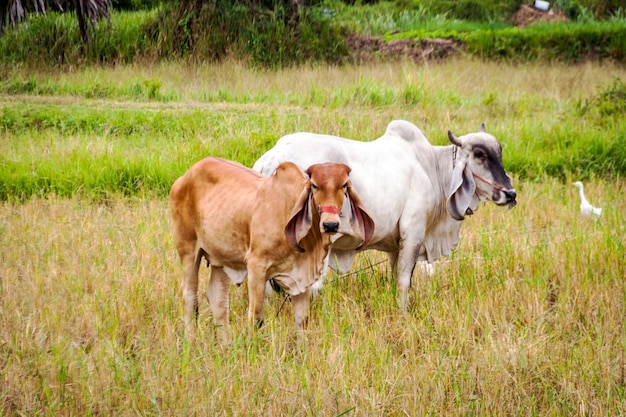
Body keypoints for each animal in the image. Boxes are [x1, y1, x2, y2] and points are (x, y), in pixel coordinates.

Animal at [168, 156, 372, 338]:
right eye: (314, 185)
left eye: (344, 185)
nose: (330, 225)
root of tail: (184, 177)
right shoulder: (256, 267)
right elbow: (256, 317)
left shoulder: (302, 277)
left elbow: (302, 320)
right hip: (188, 250)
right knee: (190, 297)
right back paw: (191, 340)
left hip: (221, 259)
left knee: (218, 299)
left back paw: (225, 345)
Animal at [251, 120, 516, 306]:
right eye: (480, 154)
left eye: (500, 152)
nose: (511, 193)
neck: (430, 167)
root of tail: (270, 161)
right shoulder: (413, 233)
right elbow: (404, 281)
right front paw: (404, 311)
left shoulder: (395, 245)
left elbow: (396, 277)